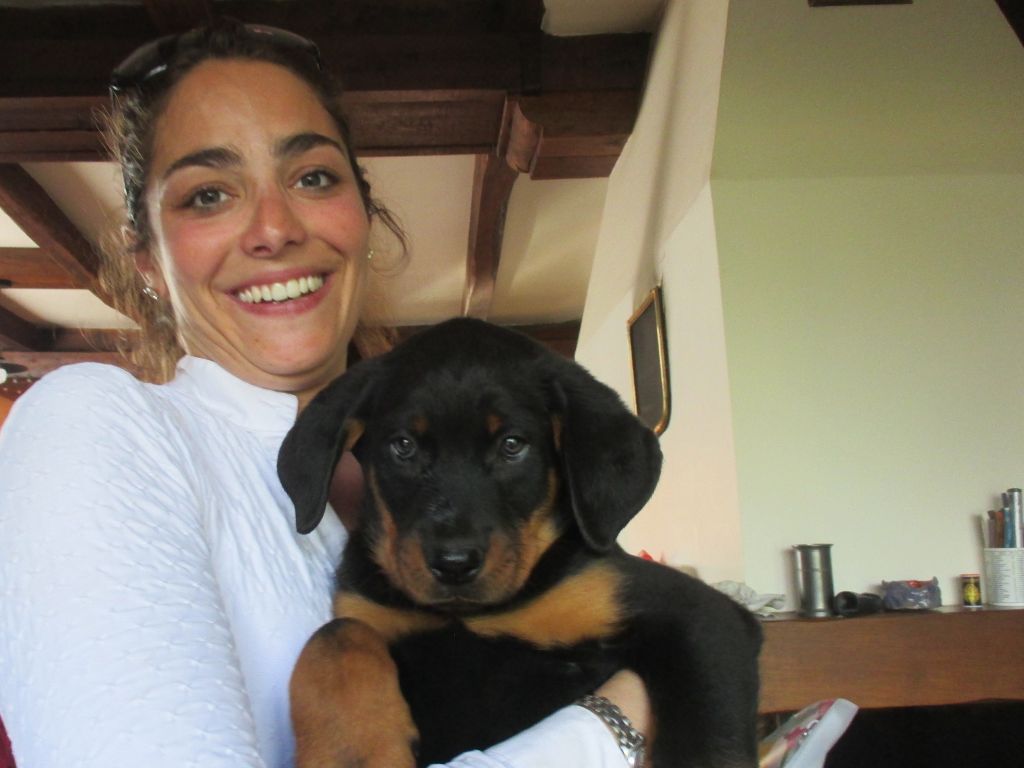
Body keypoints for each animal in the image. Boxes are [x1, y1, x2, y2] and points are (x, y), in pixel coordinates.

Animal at [278, 318, 762, 768]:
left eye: (513, 445)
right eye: (403, 446)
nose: (454, 563)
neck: (472, 615)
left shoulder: (699, 617)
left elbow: (707, 742)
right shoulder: (371, 611)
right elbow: (336, 635)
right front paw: (351, 752)